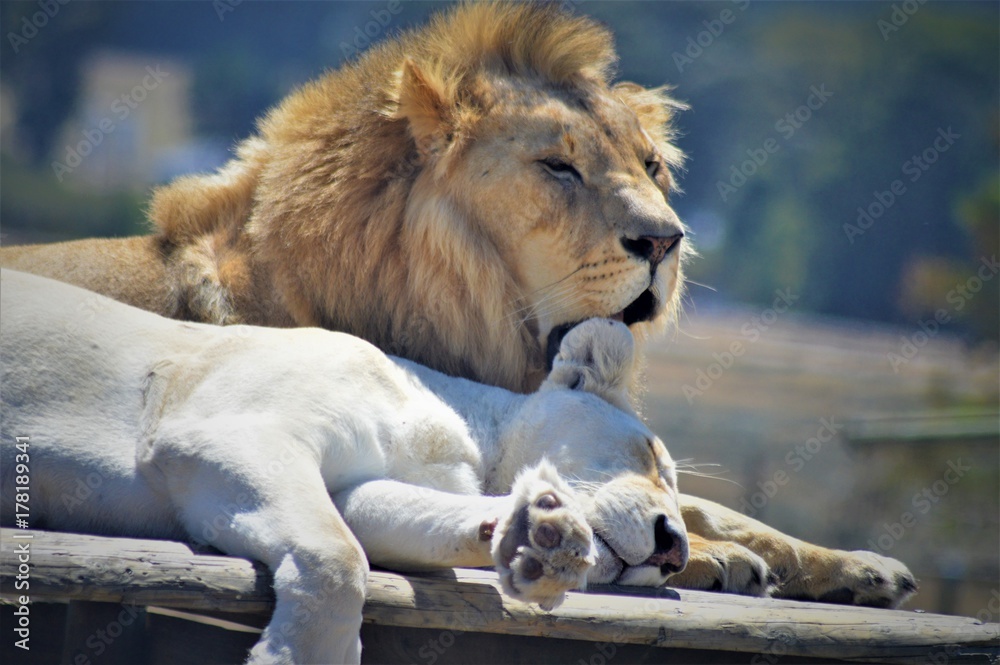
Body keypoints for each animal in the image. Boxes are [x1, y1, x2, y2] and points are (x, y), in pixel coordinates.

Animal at [0, 2, 916, 607]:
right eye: (558, 167)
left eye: (653, 166)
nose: (667, 240)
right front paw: (720, 559)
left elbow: (707, 499)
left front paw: (852, 565)